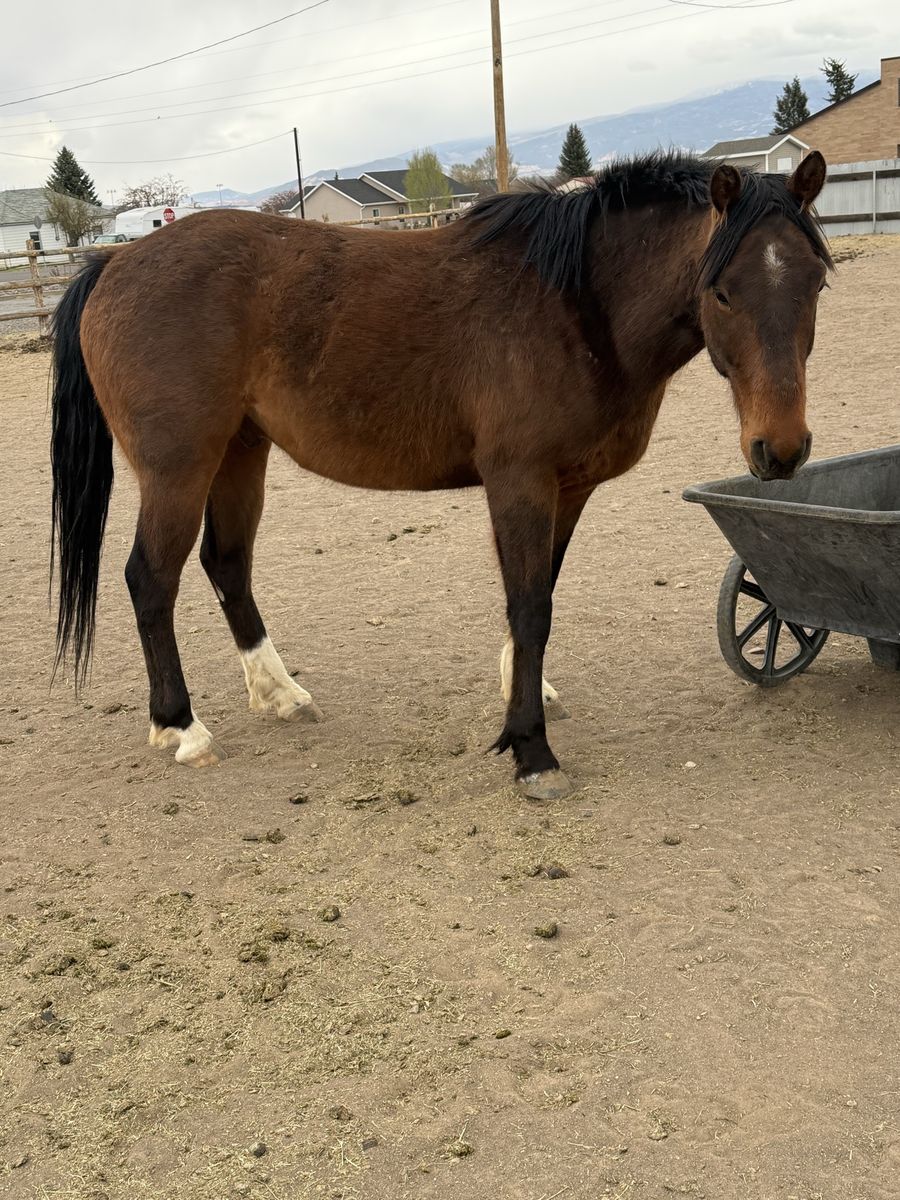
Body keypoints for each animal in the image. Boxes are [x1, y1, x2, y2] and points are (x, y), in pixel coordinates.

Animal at [49, 150, 832, 800]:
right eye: (722, 292)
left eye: (816, 281)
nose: (780, 448)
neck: (576, 304)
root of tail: (114, 263)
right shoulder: (520, 481)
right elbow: (530, 606)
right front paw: (531, 752)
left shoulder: (569, 488)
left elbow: (539, 596)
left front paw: (524, 695)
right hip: (179, 468)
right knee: (152, 578)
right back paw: (182, 728)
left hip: (241, 451)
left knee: (226, 564)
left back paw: (279, 694)